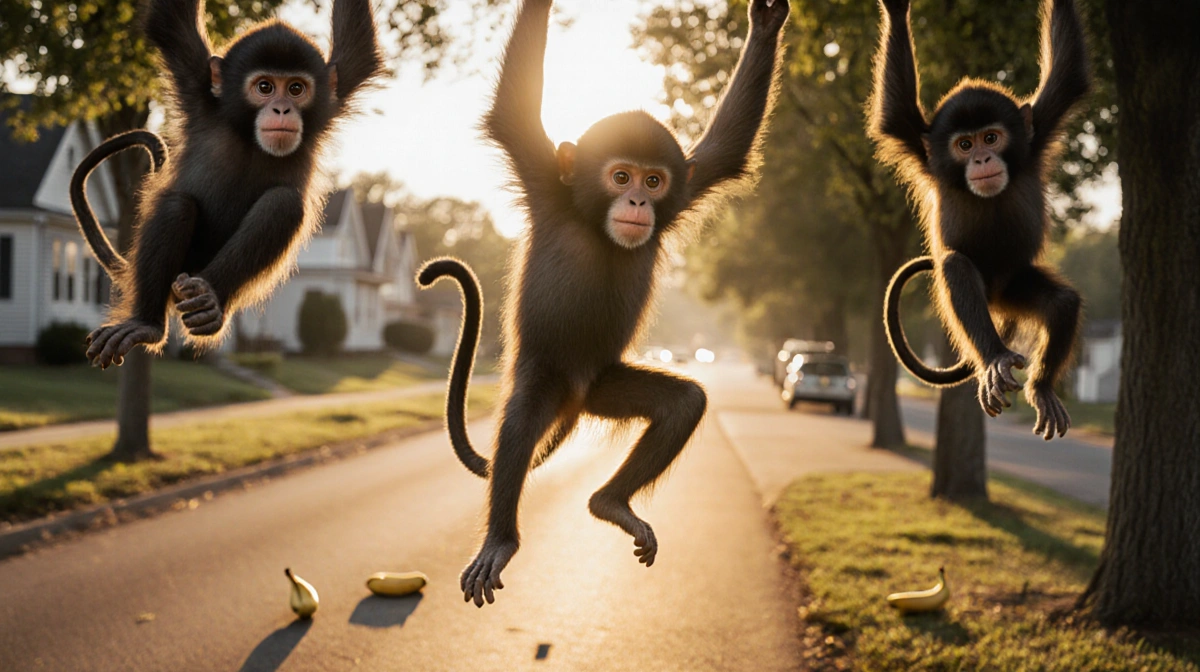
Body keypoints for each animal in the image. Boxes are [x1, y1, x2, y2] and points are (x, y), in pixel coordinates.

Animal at [69, 0, 383, 368]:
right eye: (264, 87)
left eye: (296, 88)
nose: (282, 108)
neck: (247, 134)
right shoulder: (196, 84)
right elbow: (169, 20)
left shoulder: (335, 93)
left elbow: (359, 47)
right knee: (177, 205)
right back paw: (146, 324)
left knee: (282, 203)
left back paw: (209, 303)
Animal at [418, 0, 790, 607]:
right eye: (621, 176)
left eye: (654, 181)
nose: (638, 200)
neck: (593, 222)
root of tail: (576, 399)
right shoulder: (545, 179)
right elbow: (514, 109)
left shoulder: (686, 188)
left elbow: (726, 149)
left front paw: (766, 23)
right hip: (546, 376)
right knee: (519, 423)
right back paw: (502, 539)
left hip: (605, 386)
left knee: (682, 403)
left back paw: (611, 503)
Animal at [869, 0, 1090, 441]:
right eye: (964, 144)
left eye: (991, 138)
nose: (982, 159)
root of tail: (997, 304)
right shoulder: (926, 154)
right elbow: (894, 113)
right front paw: (897, 11)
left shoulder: (1035, 133)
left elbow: (1068, 73)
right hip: (989, 296)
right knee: (956, 266)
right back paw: (995, 359)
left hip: (1014, 287)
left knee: (1062, 302)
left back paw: (1041, 388)